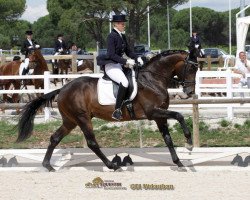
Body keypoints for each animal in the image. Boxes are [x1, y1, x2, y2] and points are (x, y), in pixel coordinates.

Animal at [16, 50, 198, 172]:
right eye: (191, 69)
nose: (189, 92)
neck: (152, 80)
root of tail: (62, 89)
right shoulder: (152, 112)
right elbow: (179, 115)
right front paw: (189, 143)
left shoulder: (159, 116)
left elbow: (168, 139)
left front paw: (179, 162)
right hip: (82, 118)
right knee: (91, 142)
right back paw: (112, 165)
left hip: (70, 121)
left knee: (55, 138)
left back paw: (48, 165)